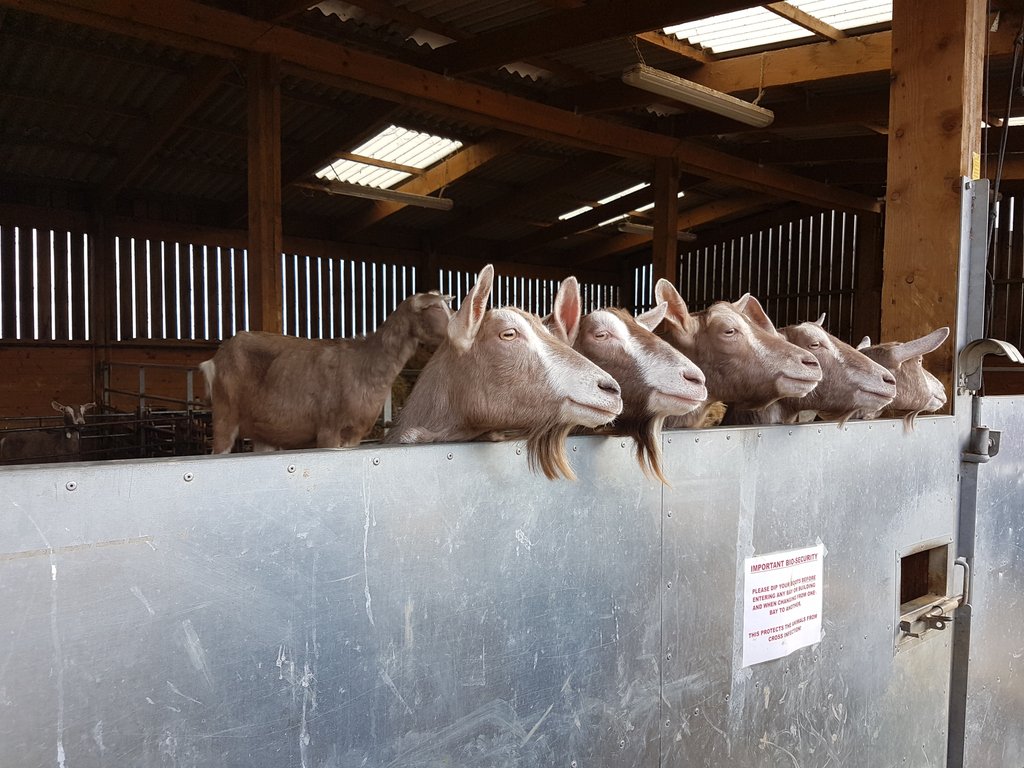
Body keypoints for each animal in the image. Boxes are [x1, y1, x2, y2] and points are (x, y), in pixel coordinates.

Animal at [201, 291, 453, 453]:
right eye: (435, 307)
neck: (363, 363)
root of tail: (216, 358)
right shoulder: (328, 430)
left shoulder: (354, 433)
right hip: (225, 415)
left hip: (262, 431)